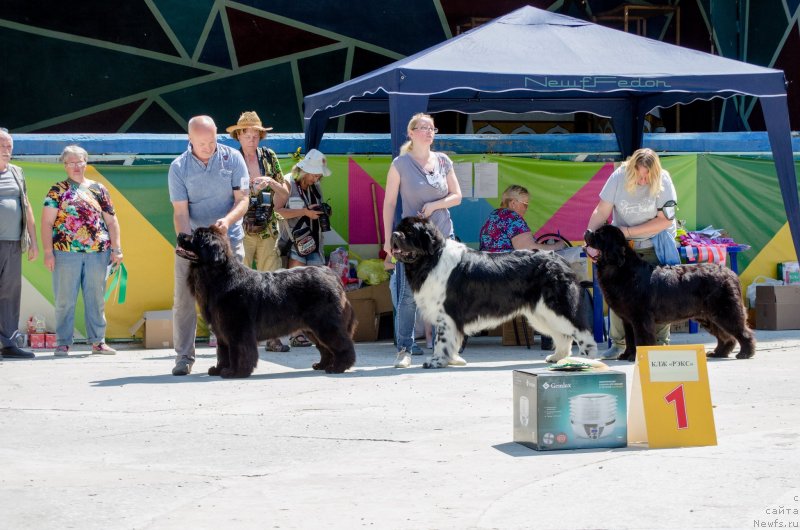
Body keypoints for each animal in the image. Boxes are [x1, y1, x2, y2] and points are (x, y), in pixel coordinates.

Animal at [180, 225, 358, 378]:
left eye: (196, 237)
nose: (180, 234)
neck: (220, 277)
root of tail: (330, 273)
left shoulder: (238, 329)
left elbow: (239, 352)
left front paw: (236, 372)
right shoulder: (221, 330)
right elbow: (223, 353)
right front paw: (219, 369)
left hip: (325, 324)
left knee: (343, 345)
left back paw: (338, 367)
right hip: (312, 328)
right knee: (325, 348)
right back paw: (322, 365)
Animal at [390, 216, 596, 368]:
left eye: (410, 232)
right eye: (398, 227)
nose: (394, 234)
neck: (432, 258)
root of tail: (560, 260)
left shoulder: (446, 314)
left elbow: (441, 341)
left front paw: (436, 361)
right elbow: (451, 340)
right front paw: (454, 360)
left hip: (557, 307)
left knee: (581, 331)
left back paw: (586, 360)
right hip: (542, 313)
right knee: (563, 335)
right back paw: (558, 358)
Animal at [584, 223, 752, 358]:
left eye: (600, 235)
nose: (587, 231)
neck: (620, 268)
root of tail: (730, 273)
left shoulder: (640, 317)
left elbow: (641, 338)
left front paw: (638, 356)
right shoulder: (627, 319)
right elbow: (630, 339)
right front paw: (627, 355)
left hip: (725, 311)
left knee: (742, 332)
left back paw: (745, 353)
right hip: (710, 316)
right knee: (726, 336)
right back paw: (718, 353)